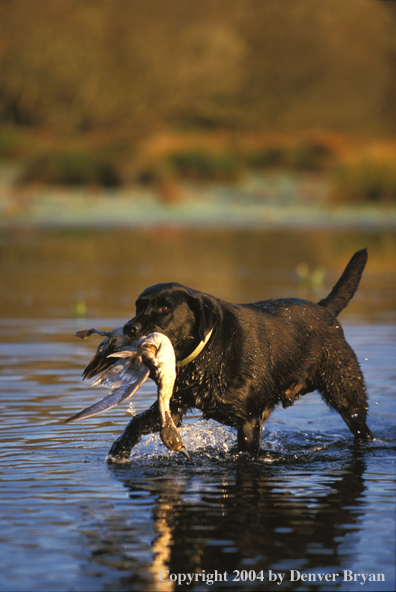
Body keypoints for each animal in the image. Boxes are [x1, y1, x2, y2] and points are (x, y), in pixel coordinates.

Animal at [105, 247, 372, 460]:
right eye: (139, 306)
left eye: (164, 308)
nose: (130, 328)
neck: (208, 354)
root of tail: (325, 310)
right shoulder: (175, 406)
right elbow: (137, 423)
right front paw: (120, 449)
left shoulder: (249, 422)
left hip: (348, 397)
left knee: (362, 427)